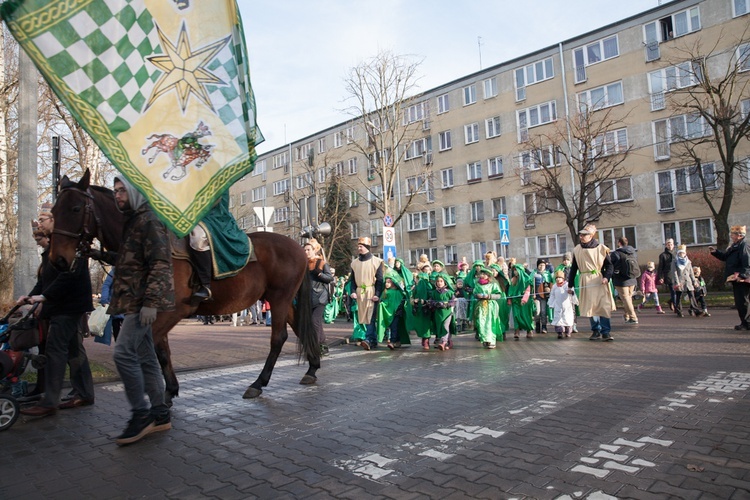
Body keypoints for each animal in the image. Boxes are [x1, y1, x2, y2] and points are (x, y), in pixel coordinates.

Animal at [47, 170, 318, 404]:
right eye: (54, 210)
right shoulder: (154, 311)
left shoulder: (174, 310)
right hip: (282, 300)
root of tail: (297, 246)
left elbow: (153, 346)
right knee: (300, 327)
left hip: (279, 299)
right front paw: (169, 390)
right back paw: (312, 368)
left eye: (75, 208)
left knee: (279, 338)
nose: (57, 259)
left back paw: (258, 383)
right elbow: (161, 350)